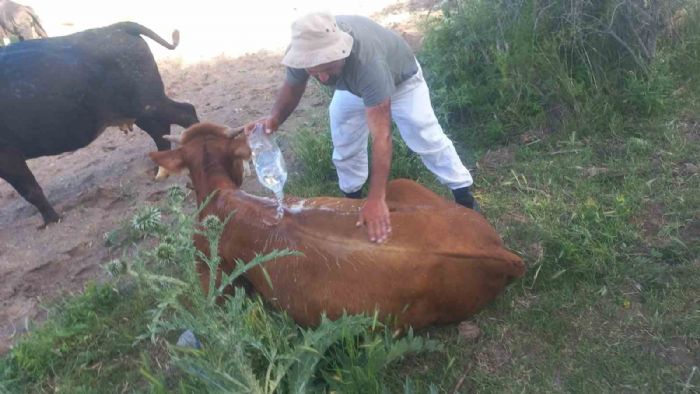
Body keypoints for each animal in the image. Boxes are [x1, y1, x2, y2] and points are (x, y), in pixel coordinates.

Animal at [0, 21, 200, 225]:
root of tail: (117, 27)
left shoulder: (8, 157)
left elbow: (30, 191)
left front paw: (51, 220)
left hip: (151, 104)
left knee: (186, 113)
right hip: (141, 112)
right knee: (161, 131)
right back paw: (161, 171)